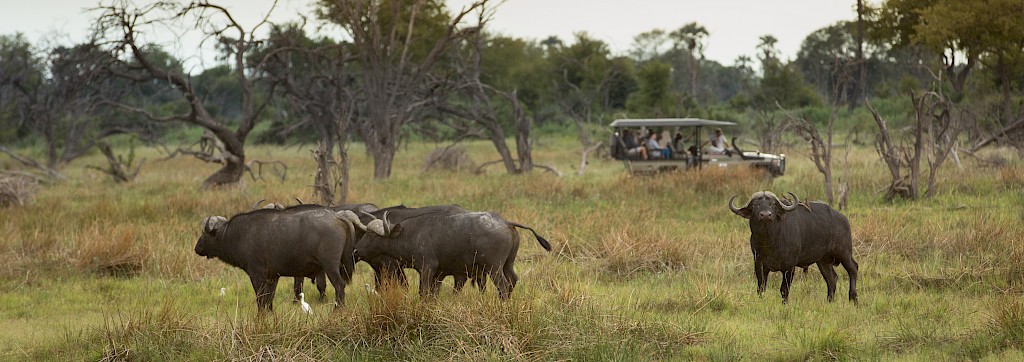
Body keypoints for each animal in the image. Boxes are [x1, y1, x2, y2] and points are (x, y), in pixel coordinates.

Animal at [195, 206, 364, 310]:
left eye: (204, 234)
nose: (197, 248)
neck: (238, 235)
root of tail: (337, 216)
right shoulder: (273, 277)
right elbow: (270, 298)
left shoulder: (257, 275)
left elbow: (261, 297)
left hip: (331, 266)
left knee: (339, 285)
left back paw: (337, 309)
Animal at [354, 210, 552, 298]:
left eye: (370, 235)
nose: (355, 250)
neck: (410, 234)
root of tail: (506, 222)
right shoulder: (439, 274)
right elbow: (433, 294)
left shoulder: (427, 268)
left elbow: (423, 292)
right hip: (508, 264)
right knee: (513, 279)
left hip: (494, 267)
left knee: (503, 284)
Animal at [724, 191, 860, 304]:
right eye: (755, 205)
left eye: (773, 204)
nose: (765, 215)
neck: (770, 241)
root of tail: (843, 219)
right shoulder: (759, 264)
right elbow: (761, 287)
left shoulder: (789, 267)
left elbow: (784, 289)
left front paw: (785, 304)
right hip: (823, 260)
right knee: (832, 279)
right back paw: (829, 301)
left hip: (844, 252)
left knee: (853, 269)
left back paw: (853, 298)